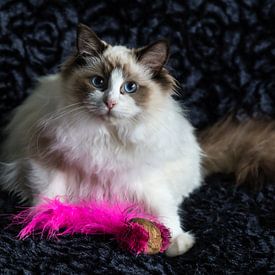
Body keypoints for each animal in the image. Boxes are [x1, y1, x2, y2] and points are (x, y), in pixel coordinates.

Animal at [0, 24, 203, 258]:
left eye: (130, 87)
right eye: (99, 82)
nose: (110, 102)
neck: (106, 135)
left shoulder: (144, 180)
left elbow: (164, 209)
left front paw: (177, 240)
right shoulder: (48, 161)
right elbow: (49, 193)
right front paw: (44, 219)